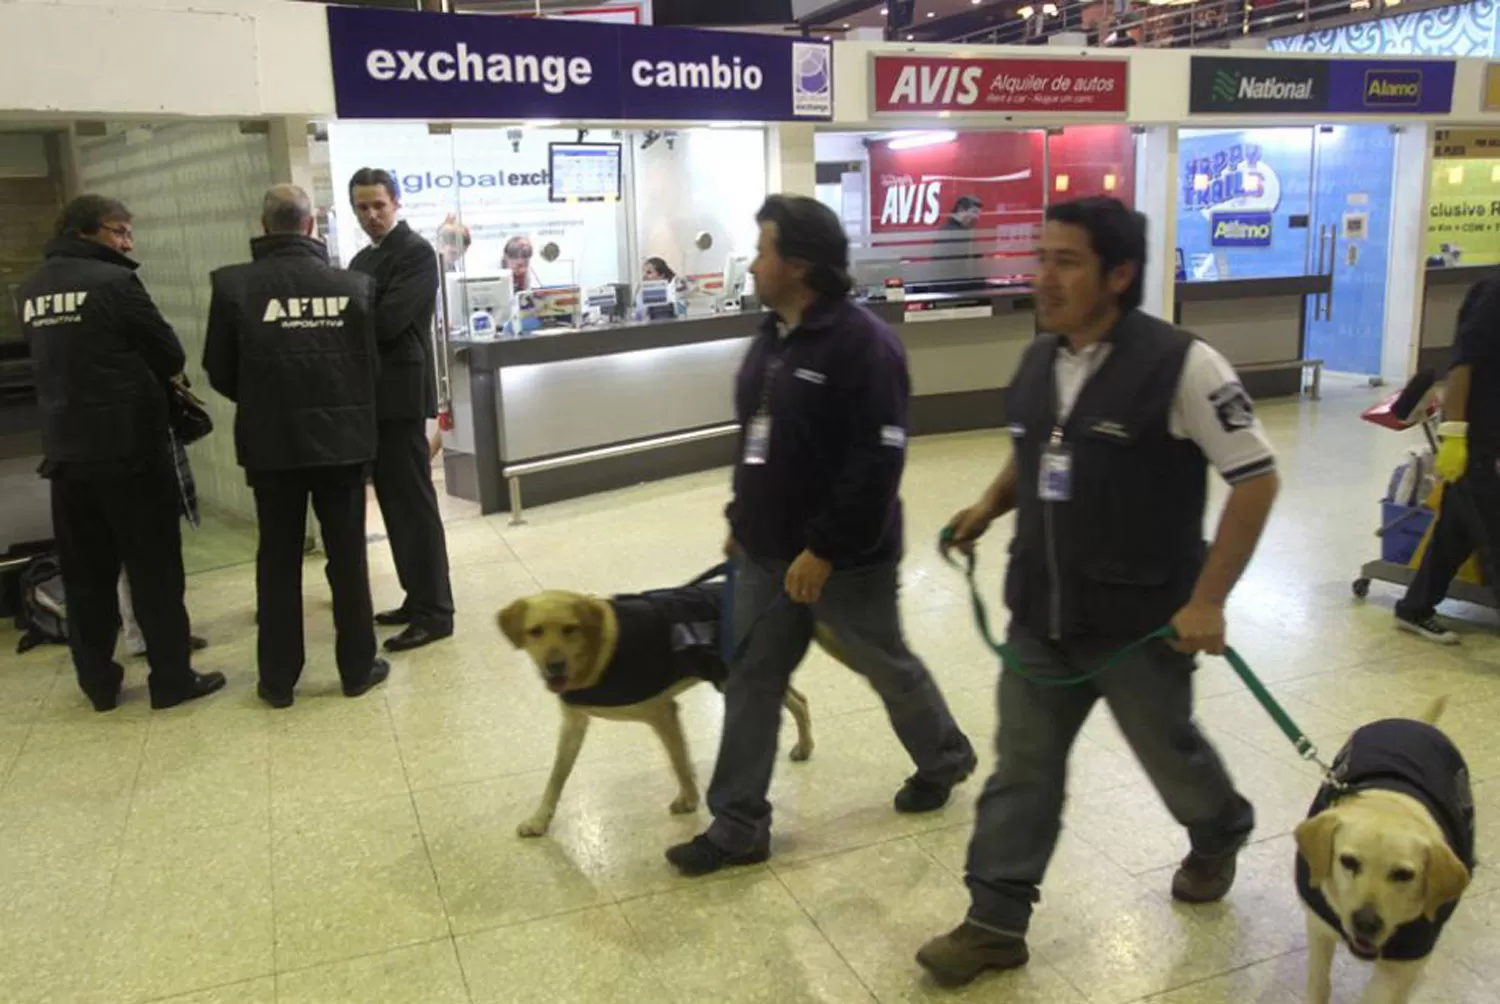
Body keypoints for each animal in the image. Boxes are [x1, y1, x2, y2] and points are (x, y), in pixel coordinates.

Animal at [495, 579, 840, 840]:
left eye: (570, 629)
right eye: (535, 631)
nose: (554, 666)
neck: (596, 654)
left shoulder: (662, 712)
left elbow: (679, 761)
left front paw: (689, 799)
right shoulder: (574, 722)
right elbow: (557, 776)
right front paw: (540, 819)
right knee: (800, 700)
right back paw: (804, 746)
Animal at [1290, 696, 1476, 1002]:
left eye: (1404, 875)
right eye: (1348, 862)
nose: (1366, 923)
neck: (1390, 804)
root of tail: (1415, 724)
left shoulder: (1401, 965)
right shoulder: (1318, 927)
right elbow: (1319, 983)